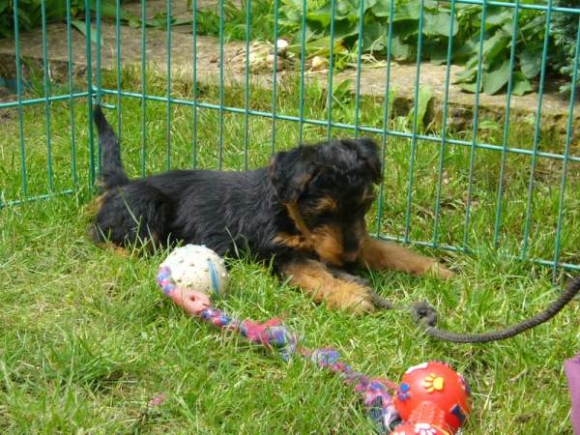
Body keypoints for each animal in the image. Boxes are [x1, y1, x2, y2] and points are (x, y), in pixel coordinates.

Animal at [90, 105, 454, 314]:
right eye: (323, 212)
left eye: (364, 204)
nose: (349, 261)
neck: (286, 212)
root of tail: (121, 184)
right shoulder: (275, 254)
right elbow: (312, 272)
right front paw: (349, 295)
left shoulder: (352, 239)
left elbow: (387, 249)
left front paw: (435, 270)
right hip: (146, 206)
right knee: (102, 235)